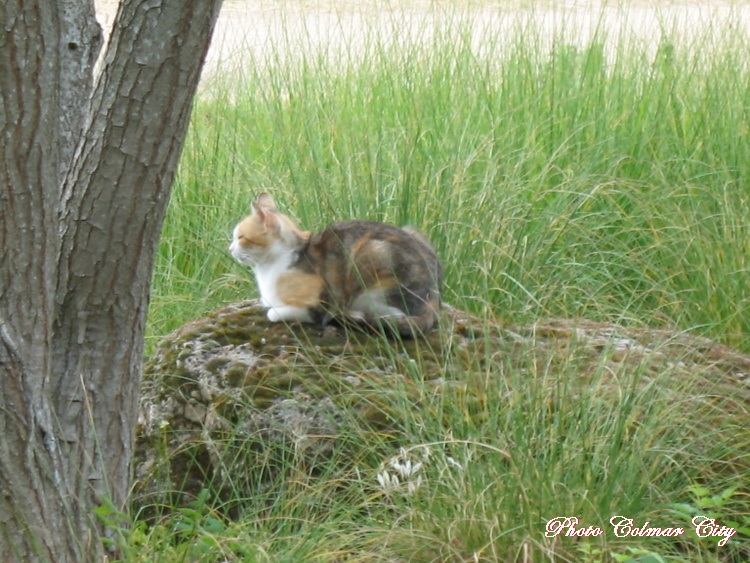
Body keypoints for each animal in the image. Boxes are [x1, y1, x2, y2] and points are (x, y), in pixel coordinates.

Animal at [228, 194, 440, 338]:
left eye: (241, 237)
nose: (229, 249)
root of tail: (434, 295)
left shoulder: (319, 306)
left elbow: (273, 312)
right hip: (412, 231)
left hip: (372, 255)